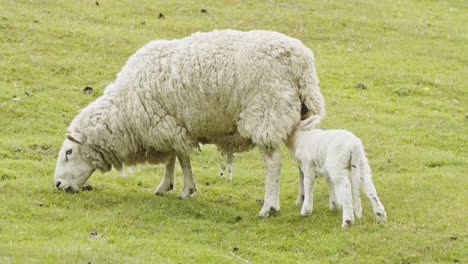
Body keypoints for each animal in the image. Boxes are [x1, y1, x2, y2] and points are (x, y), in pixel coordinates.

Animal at [54, 29, 326, 218]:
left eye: (69, 152)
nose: (57, 185)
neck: (123, 111)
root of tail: (301, 63)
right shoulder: (167, 126)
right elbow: (172, 159)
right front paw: (166, 186)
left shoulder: (167, 125)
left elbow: (182, 159)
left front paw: (186, 190)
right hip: (296, 115)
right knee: (300, 158)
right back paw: (301, 198)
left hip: (266, 112)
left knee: (273, 163)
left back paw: (269, 207)